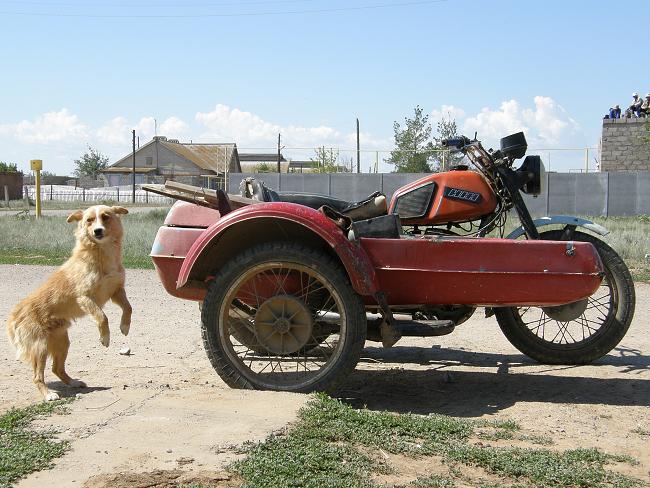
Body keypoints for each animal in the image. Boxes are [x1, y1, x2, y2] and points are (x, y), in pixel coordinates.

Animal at [6, 205, 132, 400]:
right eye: (89, 220)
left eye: (106, 217)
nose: (97, 231)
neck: (102, 253)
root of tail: (15, 315)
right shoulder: (85, 297)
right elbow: (102, 316)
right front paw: (105, 337)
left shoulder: (116, 290)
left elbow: (129, 308)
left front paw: (125, 326)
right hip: (40, 347)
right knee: (38, 376)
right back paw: (48, 394)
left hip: (62, 342)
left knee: (56, 368)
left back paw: (73, 382)